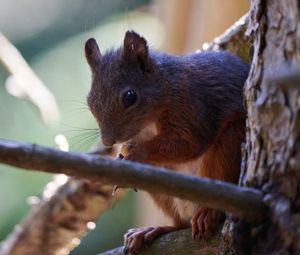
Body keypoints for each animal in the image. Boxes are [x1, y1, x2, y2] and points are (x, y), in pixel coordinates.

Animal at [84, 29, 248, 253]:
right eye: (90, 101)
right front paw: (123, 153)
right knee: (179, 223)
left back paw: (209, 212)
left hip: (232, 143)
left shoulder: (189, 106)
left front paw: (135, 155)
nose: (108, 141)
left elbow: (189, 142)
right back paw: (154, 230)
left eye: (130, 96)